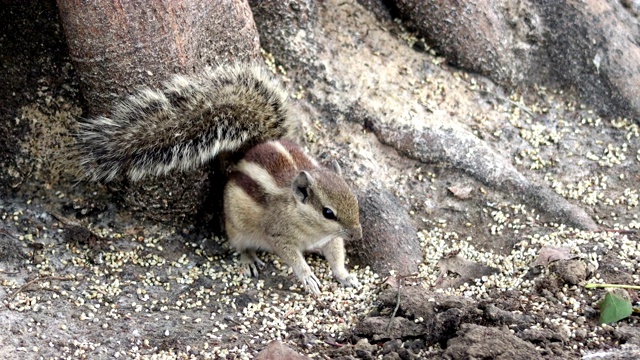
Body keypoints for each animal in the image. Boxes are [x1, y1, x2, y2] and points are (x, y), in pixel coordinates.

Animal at [76, 63, 360, 294]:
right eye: (328, 212)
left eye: (355, 202)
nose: (357, 234)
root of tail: (245, 153)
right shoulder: (279, 234)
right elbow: (292, 257)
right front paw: (307, 277)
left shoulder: (330, 239)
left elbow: (336, 255)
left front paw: (345, 275)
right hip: (237, 227)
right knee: (240, 244)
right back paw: (248, 259)